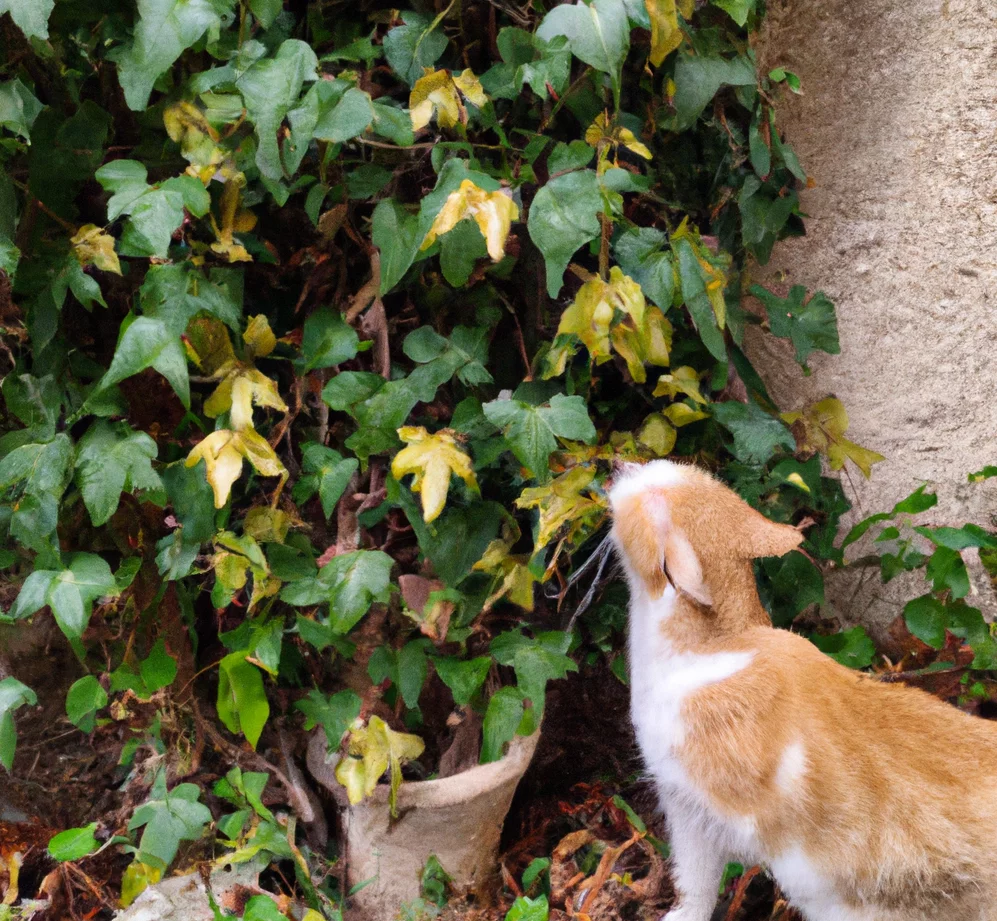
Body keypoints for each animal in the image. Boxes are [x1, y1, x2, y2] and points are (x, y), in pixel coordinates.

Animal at [604, 460, 996, 920]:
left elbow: (697, 884)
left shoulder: (698, 813)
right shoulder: (689, 812)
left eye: (648, 495)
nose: (620, 464)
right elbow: (695, 892)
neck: (716, 645)